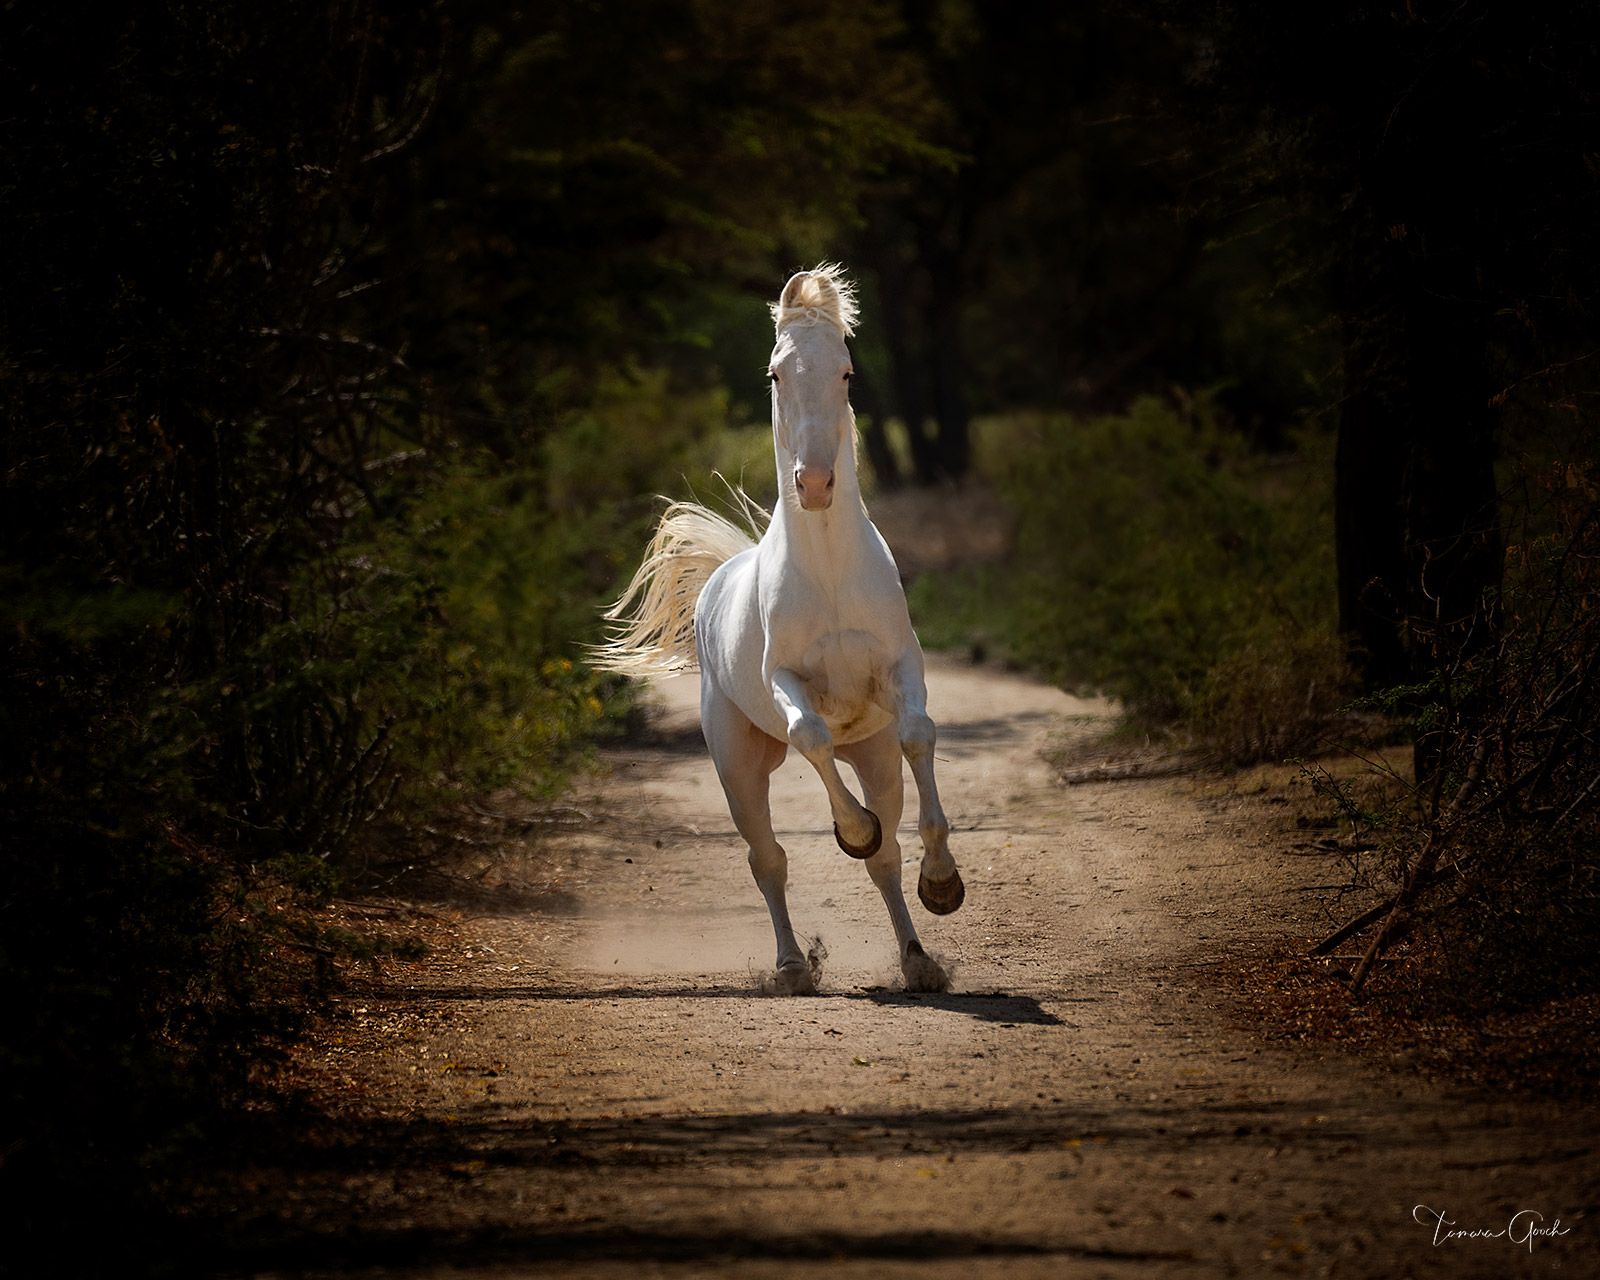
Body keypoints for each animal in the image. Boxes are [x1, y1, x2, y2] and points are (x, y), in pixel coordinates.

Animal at [593, 263, 964, 994]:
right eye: (774, 373)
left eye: (846, 371)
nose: (815, 483)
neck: (828, 572)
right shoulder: (786, 683)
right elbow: (811, 736)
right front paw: (853, 831)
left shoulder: (901, 673)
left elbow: (919, 734)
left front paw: (943, 883)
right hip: (738, 767)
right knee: (768, 858)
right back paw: (793, 965)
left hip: (871, 756)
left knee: (886, 859)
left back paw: (918, 959)